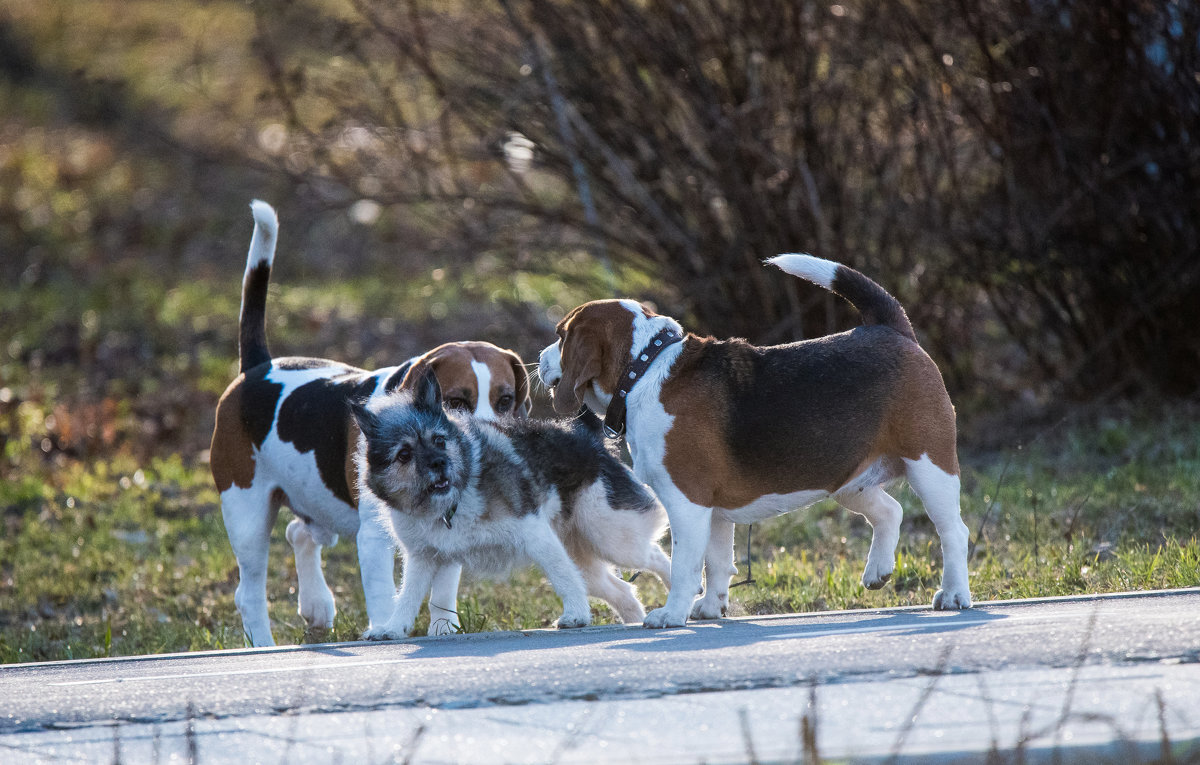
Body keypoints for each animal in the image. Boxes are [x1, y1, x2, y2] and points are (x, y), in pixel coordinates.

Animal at [212, 199, 530, 647]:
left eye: (505, 401)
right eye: (456, 401)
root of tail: (258, 368)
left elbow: (443, 589)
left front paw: (443, 630)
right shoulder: (375, 538)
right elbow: (383, 594)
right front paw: (384, 628)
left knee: (300, 533)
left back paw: (316, 606)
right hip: (247, 514)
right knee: (249, 591)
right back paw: (263, 645)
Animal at [350, 369, 672, 637]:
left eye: (439, 440)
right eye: (404, 454)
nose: (440, 463)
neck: (455, 497)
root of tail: (589, 438)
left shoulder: (535, 534)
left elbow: (562, 577)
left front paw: (577, 615)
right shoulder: (422, 558)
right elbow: (408, 597)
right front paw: (393, 628)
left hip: (611, 537)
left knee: (657, 556)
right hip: (585, 555)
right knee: (623, 591)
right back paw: (635, 620)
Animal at [540, 256, 969, 628]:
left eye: (561, 337)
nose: (540, 359)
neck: (643, 369)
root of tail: (890, 328)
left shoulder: (687, 502)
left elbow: (685, 565)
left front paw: (671, 614)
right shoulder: (712, 512)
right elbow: (715, 563)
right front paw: (710, 608)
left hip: (930, 467)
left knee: (953, 532)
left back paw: (954, 595)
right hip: (847, 480)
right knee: (890, 512)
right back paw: (878, 571)